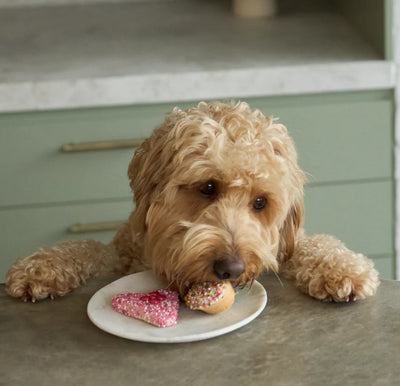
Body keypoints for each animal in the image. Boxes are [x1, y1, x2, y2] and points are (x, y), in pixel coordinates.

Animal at [7, 101, 382, 304]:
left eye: (260, 202)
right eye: (208, 187)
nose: (231, 269)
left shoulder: (277, 248)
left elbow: (314, 245)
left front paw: (344, 269)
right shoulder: (122, 255)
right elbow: (86, 248)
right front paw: (41, 267)